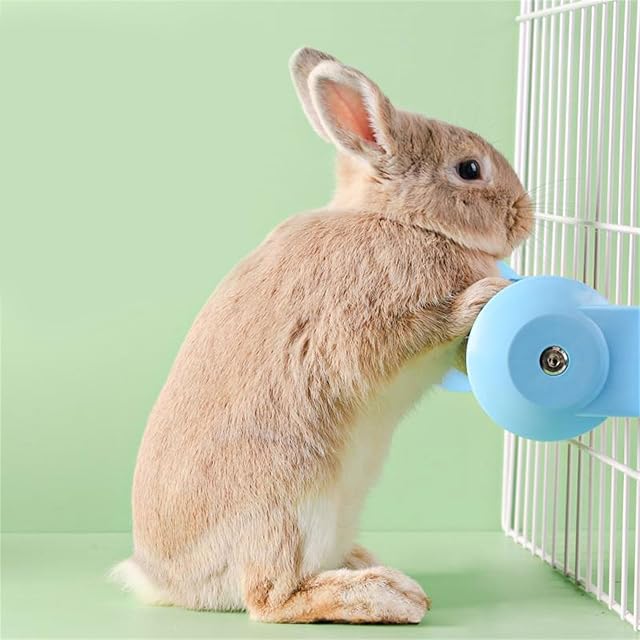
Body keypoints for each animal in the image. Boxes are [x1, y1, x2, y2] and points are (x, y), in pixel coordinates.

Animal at [110, 47, 533, 624]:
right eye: (469, 169)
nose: (526, 216)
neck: (401, 221)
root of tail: (163, 581)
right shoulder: (370, 324)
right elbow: (425, 327)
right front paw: (486, 296)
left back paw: (363, 564)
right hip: (284, 504)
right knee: (272, 599)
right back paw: (388, 596)